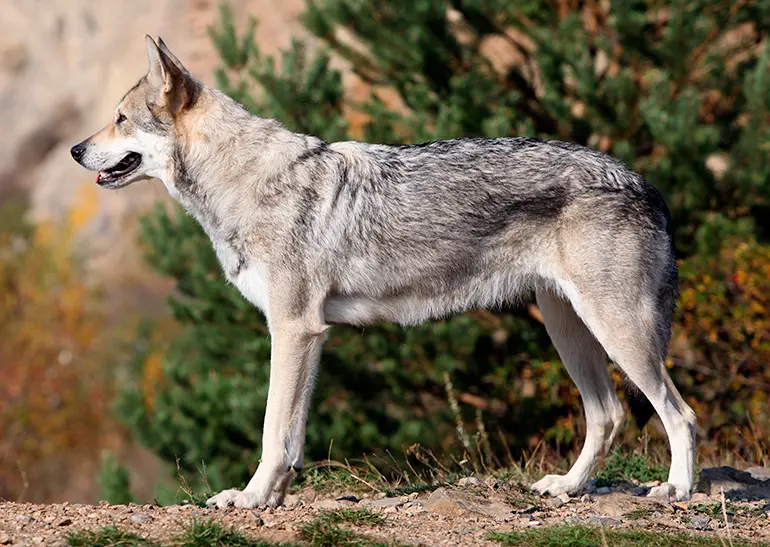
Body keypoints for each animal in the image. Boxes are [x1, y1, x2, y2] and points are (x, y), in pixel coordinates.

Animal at [71, 36, 697, 508]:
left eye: (119, 119)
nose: (76, 150)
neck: (244, 180)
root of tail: (646, 184)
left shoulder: (294, 330)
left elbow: (273, 430)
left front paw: (248, 499)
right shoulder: (308, 335)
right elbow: (293, 436)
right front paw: (273, 499)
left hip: (617, 332)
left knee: (680, 414)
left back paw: (676, 492)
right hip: (569, 330)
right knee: (609, 415)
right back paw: (567, 487)